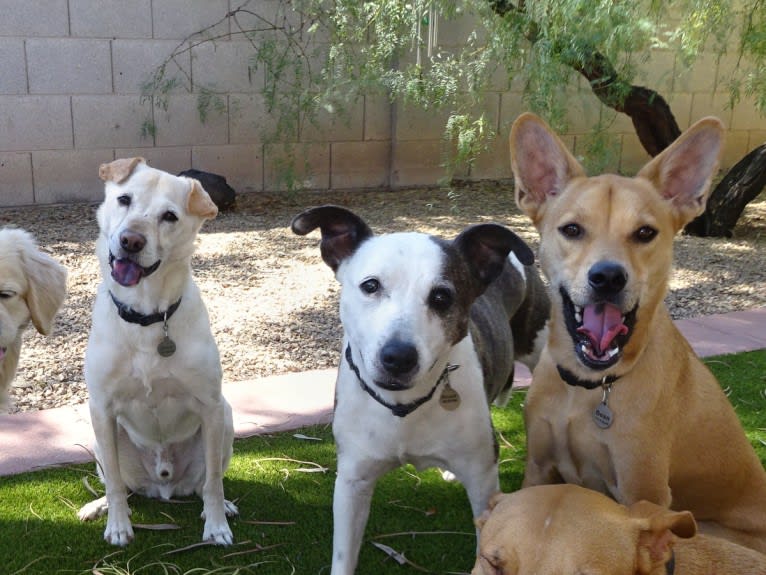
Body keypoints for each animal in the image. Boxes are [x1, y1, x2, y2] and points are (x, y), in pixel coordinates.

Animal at [76, 159, 237, 548]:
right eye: (124, 199)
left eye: (169, 216)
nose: (131, 241)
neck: (147, 316)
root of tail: (163, 485)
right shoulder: (101, 408)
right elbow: (115, 483)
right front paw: (118, 526)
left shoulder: (211, 406)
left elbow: (213, 483)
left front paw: (216, 526)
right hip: (99, 439)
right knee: (119, 483)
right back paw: (99, 505)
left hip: (226, 419)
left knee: (206, 482)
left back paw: (224, 507)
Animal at [292, 205, 548, 572]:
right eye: (371, 285)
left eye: (442, 297)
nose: (398, 357)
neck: (404, 404)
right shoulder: (352, 481)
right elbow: (343, 555)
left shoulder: (482, 479)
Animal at [510, 113, 766, 552]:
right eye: (572, 229)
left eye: (645, 233)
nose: (608, 277)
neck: (589, 388)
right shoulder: (539, 468)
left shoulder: (642, 491)